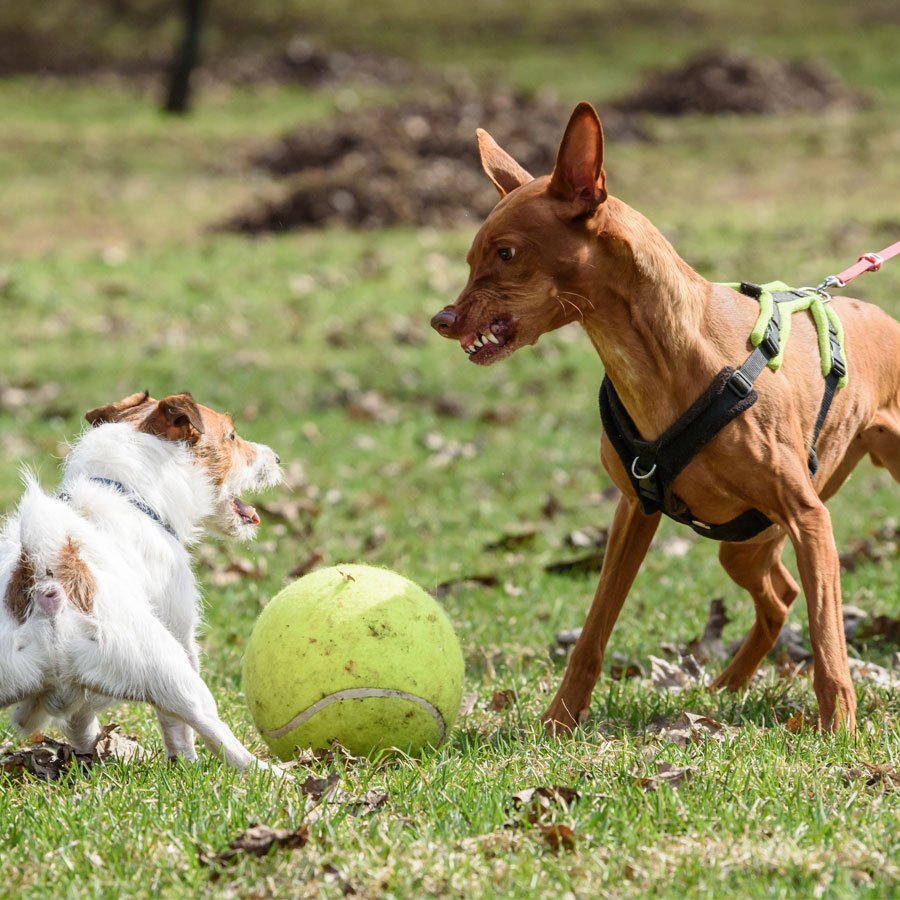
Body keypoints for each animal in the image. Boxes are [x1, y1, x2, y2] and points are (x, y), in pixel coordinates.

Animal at [0, 394, 282, 772]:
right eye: (232, 436)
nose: (277, 458)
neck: (128, 493)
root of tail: (50, 583)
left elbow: (80, 722)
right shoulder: (181, 629)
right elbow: (177, 728)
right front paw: (185, 764)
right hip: (171, 672)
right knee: (213, 731)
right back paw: (268, 773)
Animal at [430, 102, 900, 736]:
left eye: (505, 253)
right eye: (471, 257)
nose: (442, 319)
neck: (663, 357)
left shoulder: (810, 520)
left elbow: (828, 640)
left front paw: (839, 730)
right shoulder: (634, 511)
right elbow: (593, 633)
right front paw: (559, 721)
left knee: (790, 598)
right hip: (745, 543)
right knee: (779, 595)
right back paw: (727, 685)